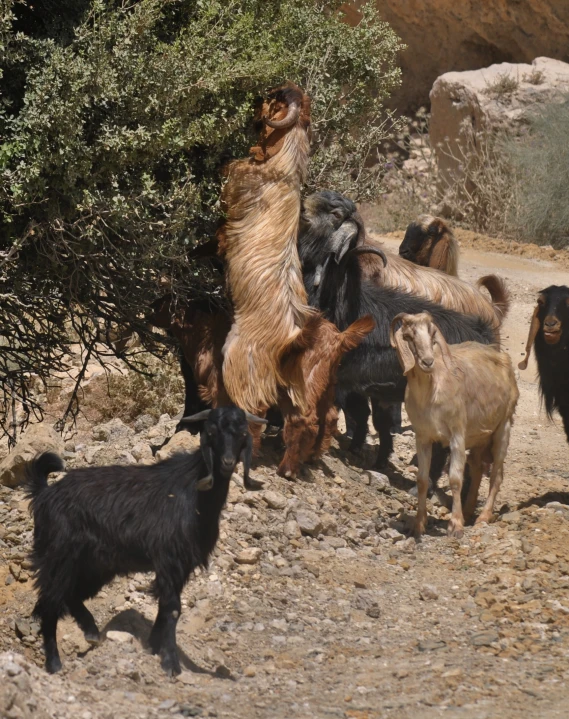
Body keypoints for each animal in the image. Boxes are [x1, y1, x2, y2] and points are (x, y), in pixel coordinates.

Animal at [25, 408, 266, 676]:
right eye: (212, 431)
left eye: (243, 432)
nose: (226, 463)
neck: (194, 495)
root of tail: (45, 494)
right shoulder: (170, 559)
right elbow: (172, 608)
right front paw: (171, 663)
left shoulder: (181, 566)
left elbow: (165, 607)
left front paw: (153, 646)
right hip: (59, 556)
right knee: (50, 603)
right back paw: (54, 664)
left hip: (96, 565)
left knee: (69, 595)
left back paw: (91, 632)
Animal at [219, 81, 316, 414]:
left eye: (272, 98)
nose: (253, 102)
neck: (283, 165)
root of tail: (289, 342)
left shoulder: (235, 187)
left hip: (238, 361)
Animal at [390, 312, 520, 536]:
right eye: (408, 336)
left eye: (432, 334)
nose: (427, 362)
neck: (431, 391)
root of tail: (503, 358)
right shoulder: (423, 436)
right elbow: (422, 479)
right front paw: (419, 524)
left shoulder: (457, 434)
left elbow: (455, 479)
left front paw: (456, 525)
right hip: (479, 438)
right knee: (477, 469)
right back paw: (468, 511)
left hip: (503, 427)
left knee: (497, 474)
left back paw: (483, 516)